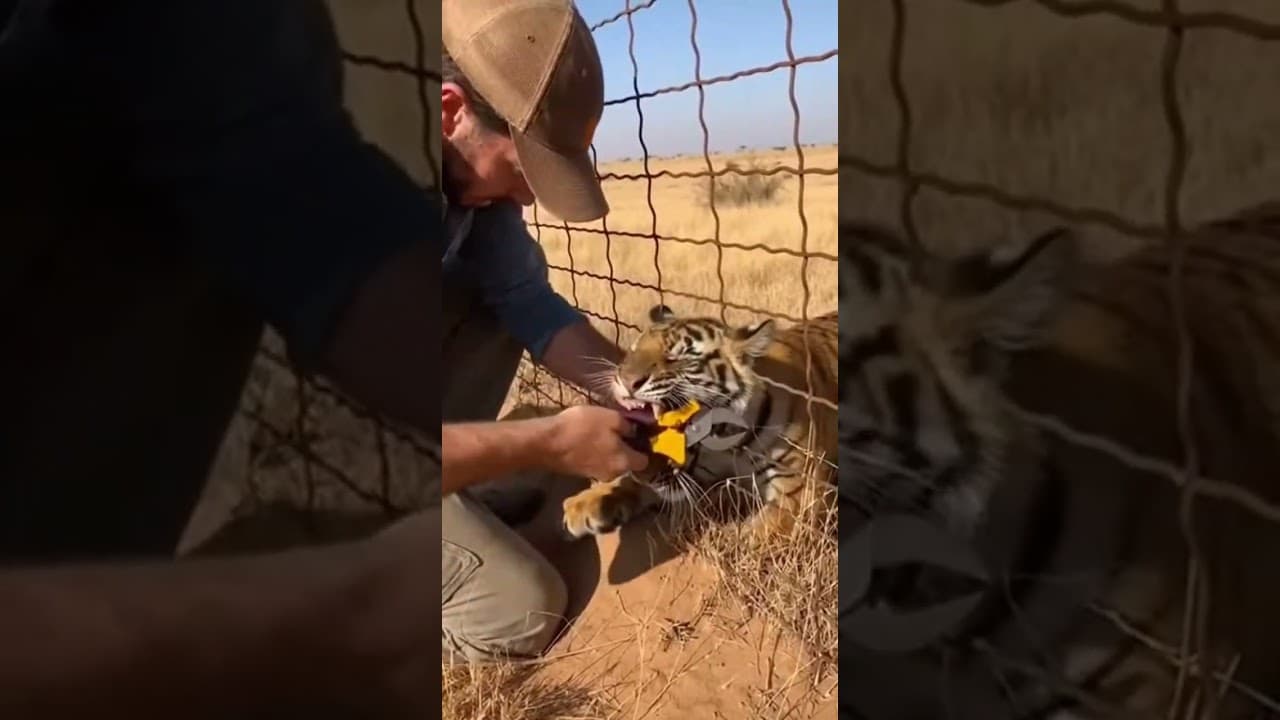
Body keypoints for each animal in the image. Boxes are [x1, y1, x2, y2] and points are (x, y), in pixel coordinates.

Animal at [560, 303, 839, 540]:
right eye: (634, 350)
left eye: (678, 357)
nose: (626, 380)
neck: (727, 441)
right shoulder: (703, 464)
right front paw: (587, 502)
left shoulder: (799, 494)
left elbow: (749, 539)